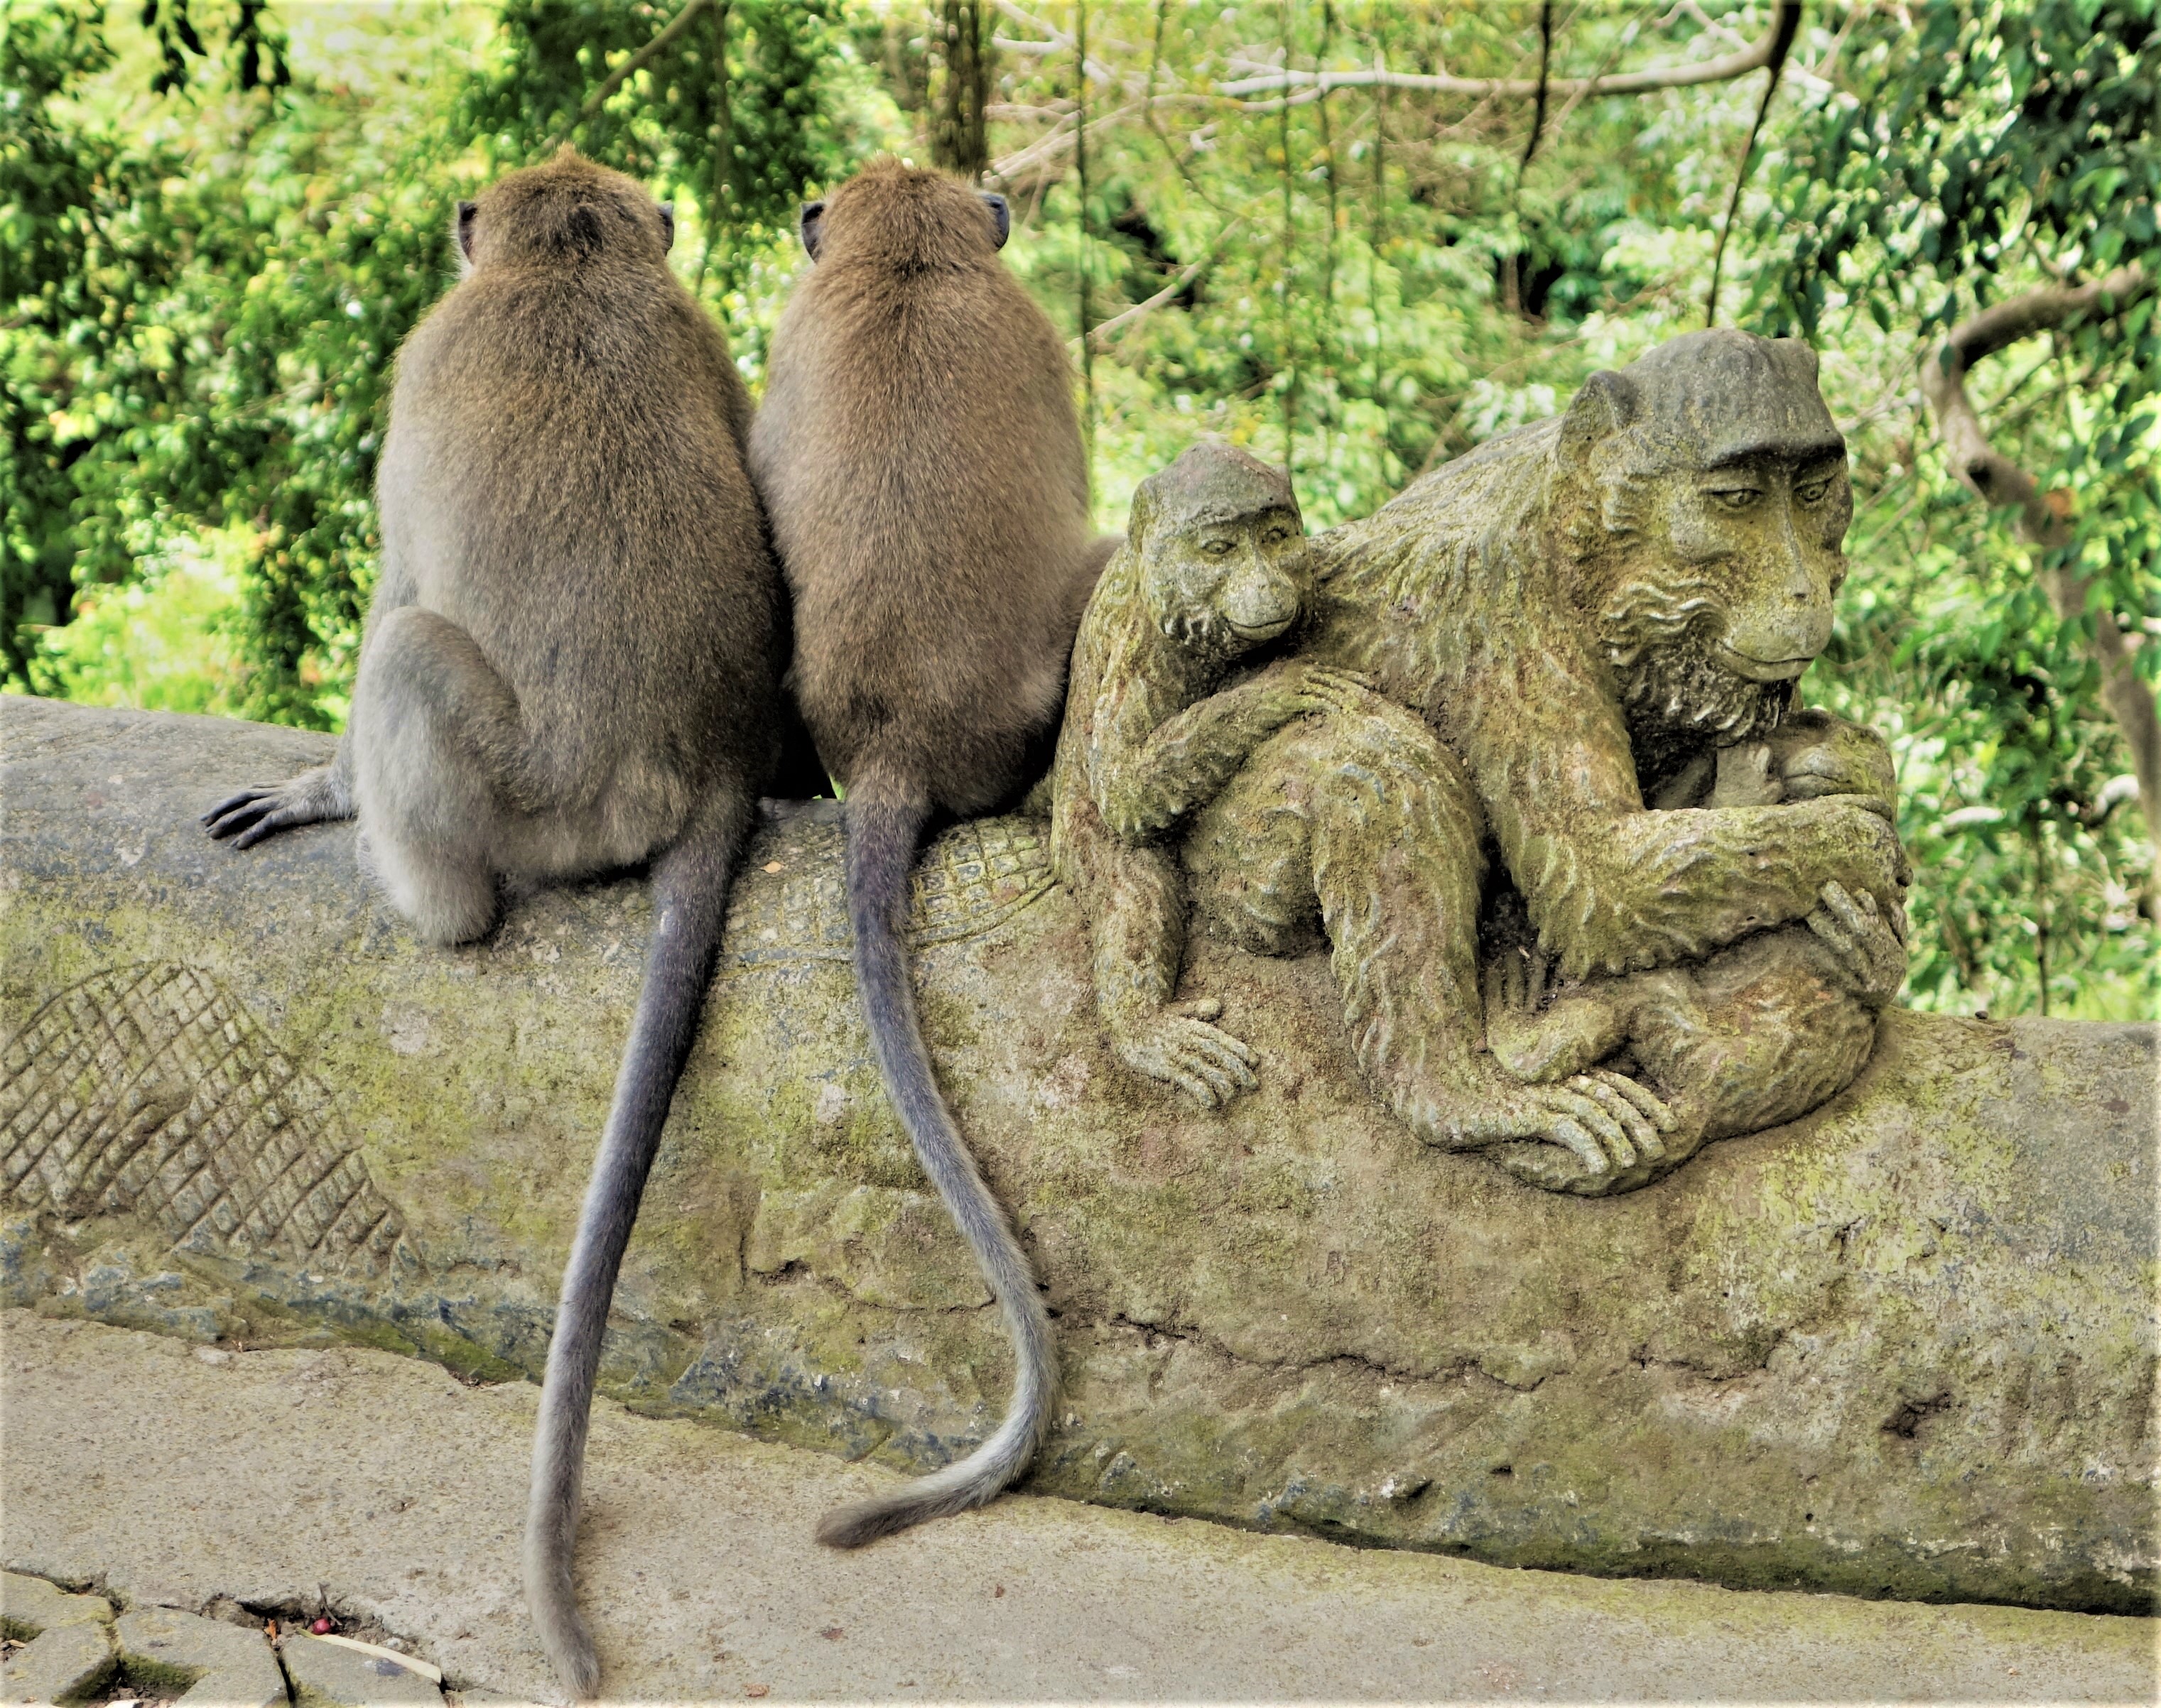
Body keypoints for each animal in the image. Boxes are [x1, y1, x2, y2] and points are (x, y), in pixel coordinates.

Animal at [201, 149, 784, 1697]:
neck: (569, 267)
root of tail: (696, 763)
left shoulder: (420, 365)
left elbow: (397, 579)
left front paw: (318, 785)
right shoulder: (708, 332)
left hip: (520, 792)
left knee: (409, 651)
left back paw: (431, 903)